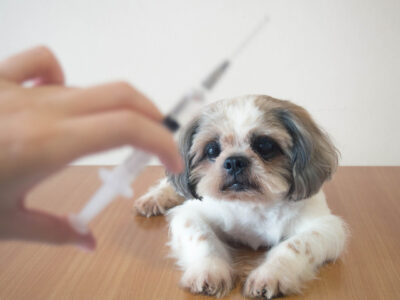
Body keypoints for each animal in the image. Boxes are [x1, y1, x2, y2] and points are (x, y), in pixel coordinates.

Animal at [134, 95, 346, 298]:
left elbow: (295, 245)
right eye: (212, 149)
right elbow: (203, 237)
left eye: (265, 146)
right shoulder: (191, 215)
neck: (251, 203)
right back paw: (154, 198)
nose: (235, 161)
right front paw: (210, 270)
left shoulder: (325, 227)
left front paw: (271, 274)